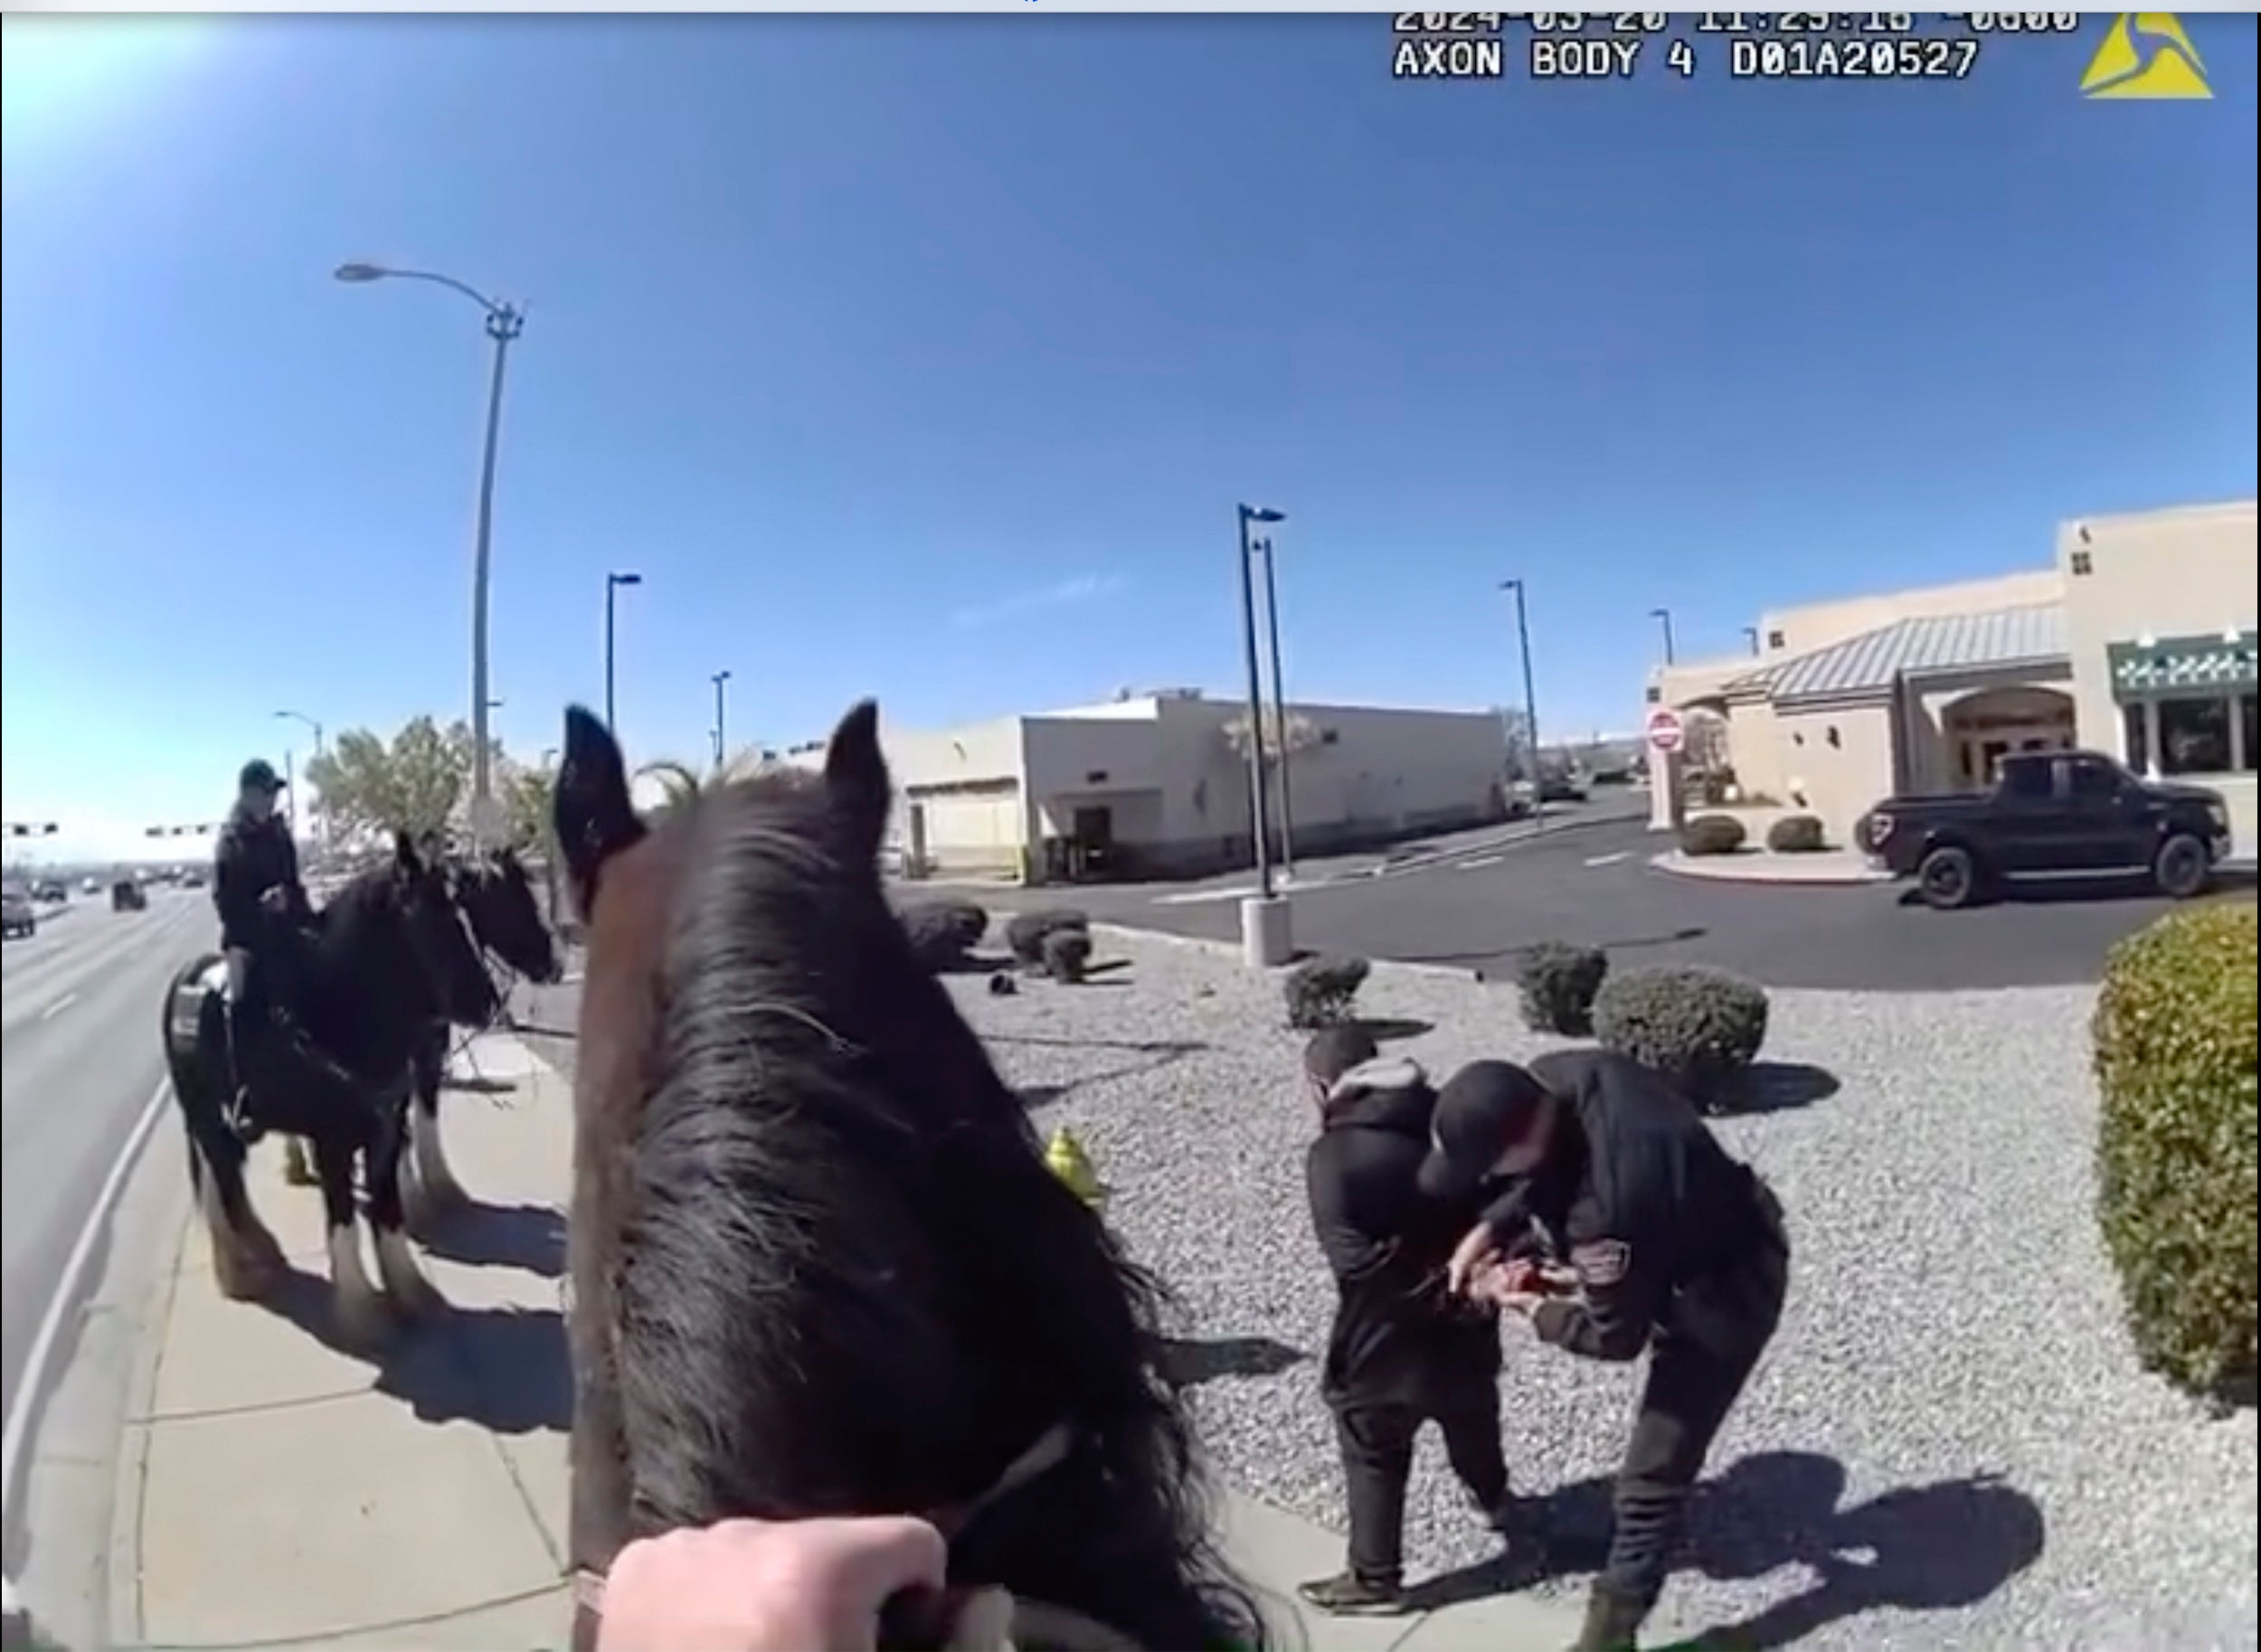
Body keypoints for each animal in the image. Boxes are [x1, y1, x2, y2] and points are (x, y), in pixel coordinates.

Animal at [165, 826, 504, 1346]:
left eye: (461, 913)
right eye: (429, 919)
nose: (485, 1002)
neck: (334, 1010)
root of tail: (183, 983)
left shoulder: (384, 1133)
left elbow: (387, 1213)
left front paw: (412, 1295)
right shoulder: (334, 1141)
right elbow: (343, 1219)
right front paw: (363, 1314)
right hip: (203, 1112)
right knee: (224, 1176)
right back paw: (247, 1267)